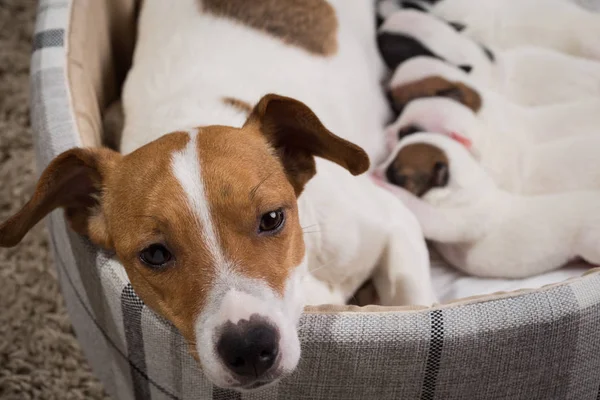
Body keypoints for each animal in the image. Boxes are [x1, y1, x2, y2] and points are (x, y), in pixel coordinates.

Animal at [376, 133, 600, 280]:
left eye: (396, 174)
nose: (377, 170)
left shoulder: (456, 220)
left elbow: (428, 216)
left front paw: (383, 185)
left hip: (591, 242)